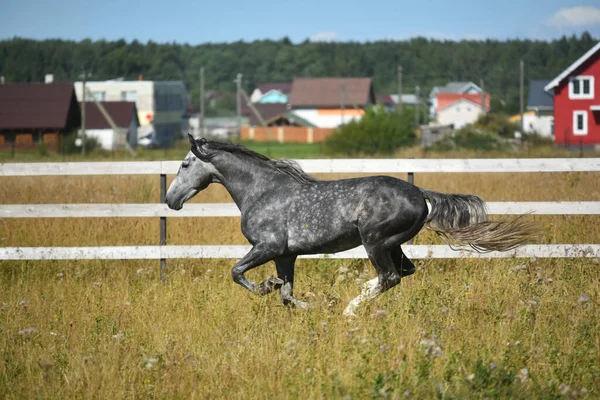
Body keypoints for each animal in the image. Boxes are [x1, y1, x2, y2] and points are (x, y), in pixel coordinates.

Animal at [166, 136, 536, 318]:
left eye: (185, 164)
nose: (171, 199)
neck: (262, 191)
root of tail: (420, 193)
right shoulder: (285, 255)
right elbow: (287, 296)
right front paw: (307, 304)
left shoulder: (267, 247)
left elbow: (237, 272)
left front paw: (267, 285)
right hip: (392, 243)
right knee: (404, 272)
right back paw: (356, 295)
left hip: (375, 241)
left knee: (391, 276)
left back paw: (351, 308)